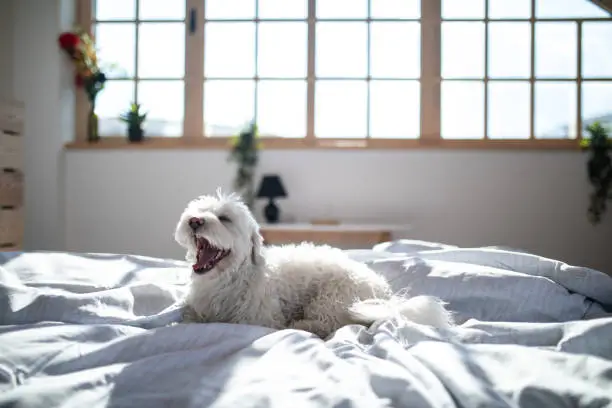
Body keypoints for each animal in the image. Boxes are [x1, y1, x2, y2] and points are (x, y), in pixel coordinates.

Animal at [175, 190, 452, 340]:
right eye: (197, 210)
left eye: (224, 218)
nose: (194, 220)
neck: (228, 279)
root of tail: (387, 295)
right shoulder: (196, 310)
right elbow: (189, 317)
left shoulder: (258, 319)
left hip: (333, 297)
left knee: (331, 323)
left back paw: (302, 325)